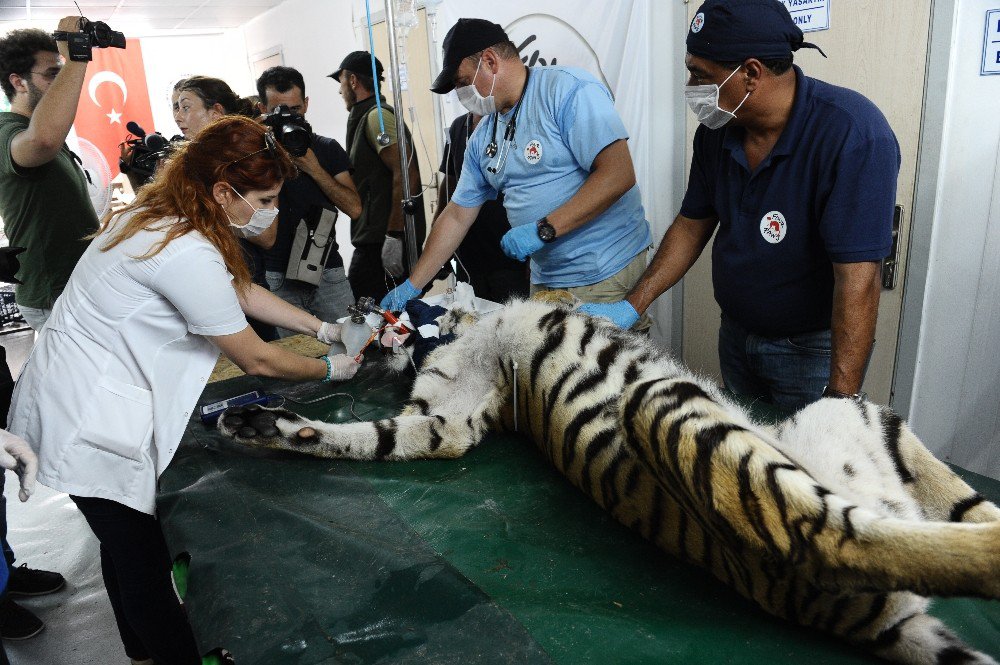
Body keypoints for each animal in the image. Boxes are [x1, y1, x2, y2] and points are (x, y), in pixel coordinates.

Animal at [219, 300, 1000, 664]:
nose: (360, 318)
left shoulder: (450, 414)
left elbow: (385, 432)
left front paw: (270, 424)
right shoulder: (448, 417)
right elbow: (383, 434)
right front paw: (270, 425)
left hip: (860, 418)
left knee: (960, 504)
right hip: (677, 409)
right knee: (837, 537)